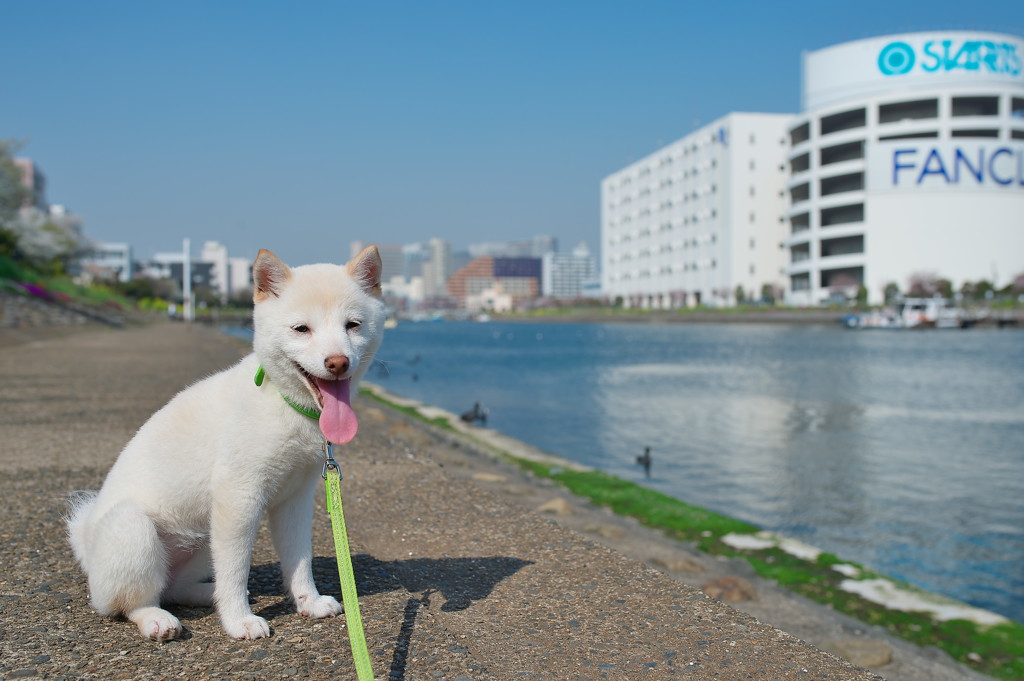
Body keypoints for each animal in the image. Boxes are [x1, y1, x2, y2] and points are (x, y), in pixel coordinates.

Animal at [67, 246, 387, 639]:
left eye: (352, 325)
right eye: (302, 329)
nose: (337, 362)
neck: (285, 405)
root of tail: (86, 542)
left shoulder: (295, 499)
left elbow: (299, 560)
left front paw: (308, 602)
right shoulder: (239, 497)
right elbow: (236, 571)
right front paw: (238, 620)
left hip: (203, 535)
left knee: (174, 587)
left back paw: (208, 595)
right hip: (135, 530)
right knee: (133, 601)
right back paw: (158, 619)